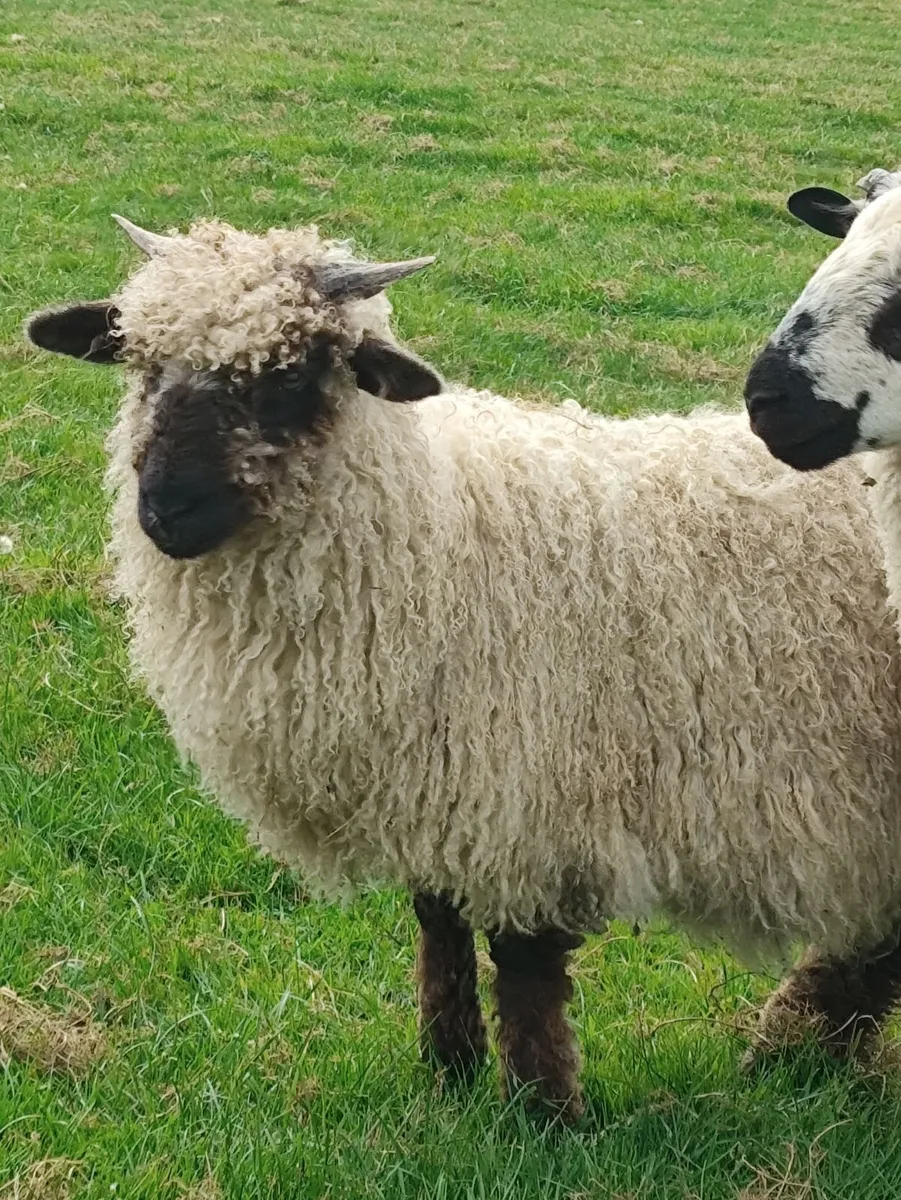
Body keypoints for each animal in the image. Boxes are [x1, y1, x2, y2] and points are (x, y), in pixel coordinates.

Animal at [27, 215, 901, 1122]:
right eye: (142, 363)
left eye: (290, 374)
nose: (166, 512)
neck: (430, 531)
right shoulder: (439, 788)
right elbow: (437, 924)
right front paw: (449, 1071)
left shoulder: (527, 795)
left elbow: (522, 965)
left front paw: (544, 1110)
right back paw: (797, 1051)